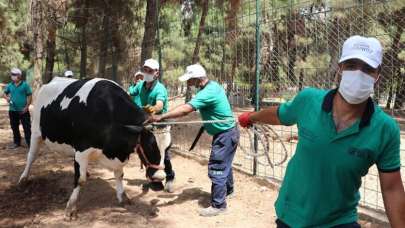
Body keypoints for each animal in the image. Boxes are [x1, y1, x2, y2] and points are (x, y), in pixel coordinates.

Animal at [18, 77, 166, 218]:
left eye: (168, 147)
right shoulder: (82, 150)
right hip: (36, 131)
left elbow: (119, 175)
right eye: (150, 145)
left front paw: (122, 197)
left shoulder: (117, 153)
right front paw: (70, 208)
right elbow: (80, 179)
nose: (160, 177)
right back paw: (23, 179)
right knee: (31, 156)